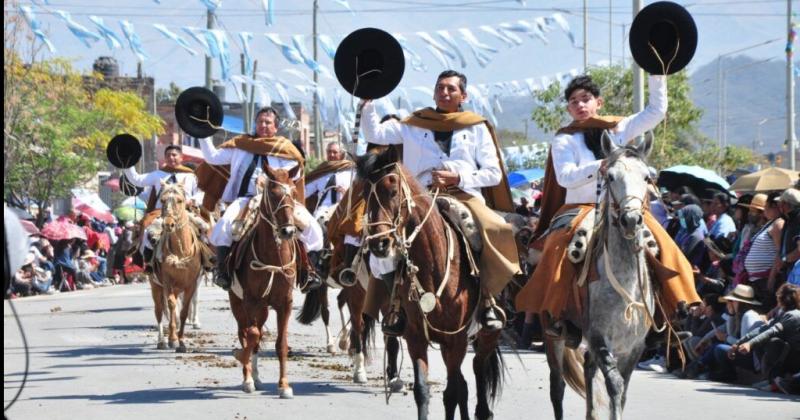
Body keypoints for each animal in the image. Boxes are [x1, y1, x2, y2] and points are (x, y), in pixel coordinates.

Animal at [150, 183, 205, 352]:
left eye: (180, 200)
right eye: (162, 200)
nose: (168, 224)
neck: (181, 251)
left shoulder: (191, 283)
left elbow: (184, 309)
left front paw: (181, 342)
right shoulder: (168, 282)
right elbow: (172, 305)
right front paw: (173, 338)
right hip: (156, 286)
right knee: (160, 311)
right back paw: (162, 341)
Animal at [230, 165, 302, 398]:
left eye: (293, 193)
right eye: (273, 193)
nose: (288, 231)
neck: (272, 258)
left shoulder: (285, 303)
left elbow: (281, 343)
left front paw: (284, 385)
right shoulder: (250, 300)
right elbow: (251, 335)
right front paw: (241, 359)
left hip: (262, 309)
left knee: (257, 334)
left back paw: (256, 376)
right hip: (239, 304)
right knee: (246, 332)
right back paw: (248, 378)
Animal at [358, 148, 504, 420]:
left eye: (392, 191)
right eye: (364, 194)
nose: (379, 244)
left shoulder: (455, 342)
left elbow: (452, 393)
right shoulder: (416, 338)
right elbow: (424, 391)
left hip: (487, 335)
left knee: (477, 369)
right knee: (464, 385)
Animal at [548, 135, 660, 420]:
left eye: (647, 177)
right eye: (609, 176)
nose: (631, 219)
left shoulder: (634, 347)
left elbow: (623, 391)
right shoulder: (599, 337)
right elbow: (615, 385)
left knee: (588, 368)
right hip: (553, 334)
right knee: (557, 386)